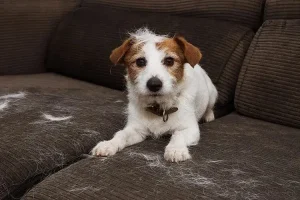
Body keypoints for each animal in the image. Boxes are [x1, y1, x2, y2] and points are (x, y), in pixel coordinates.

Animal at [91, 28, 218, 162]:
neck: (159, 108)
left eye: (169, 61)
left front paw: (176, 149)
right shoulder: (136, 130)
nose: (154, 84)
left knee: (210, 107)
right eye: (140, 61)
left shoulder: (190, 129)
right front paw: (109, 144)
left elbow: (179, 135)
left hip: (212, 94)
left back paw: (209, 116)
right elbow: (121, 134)